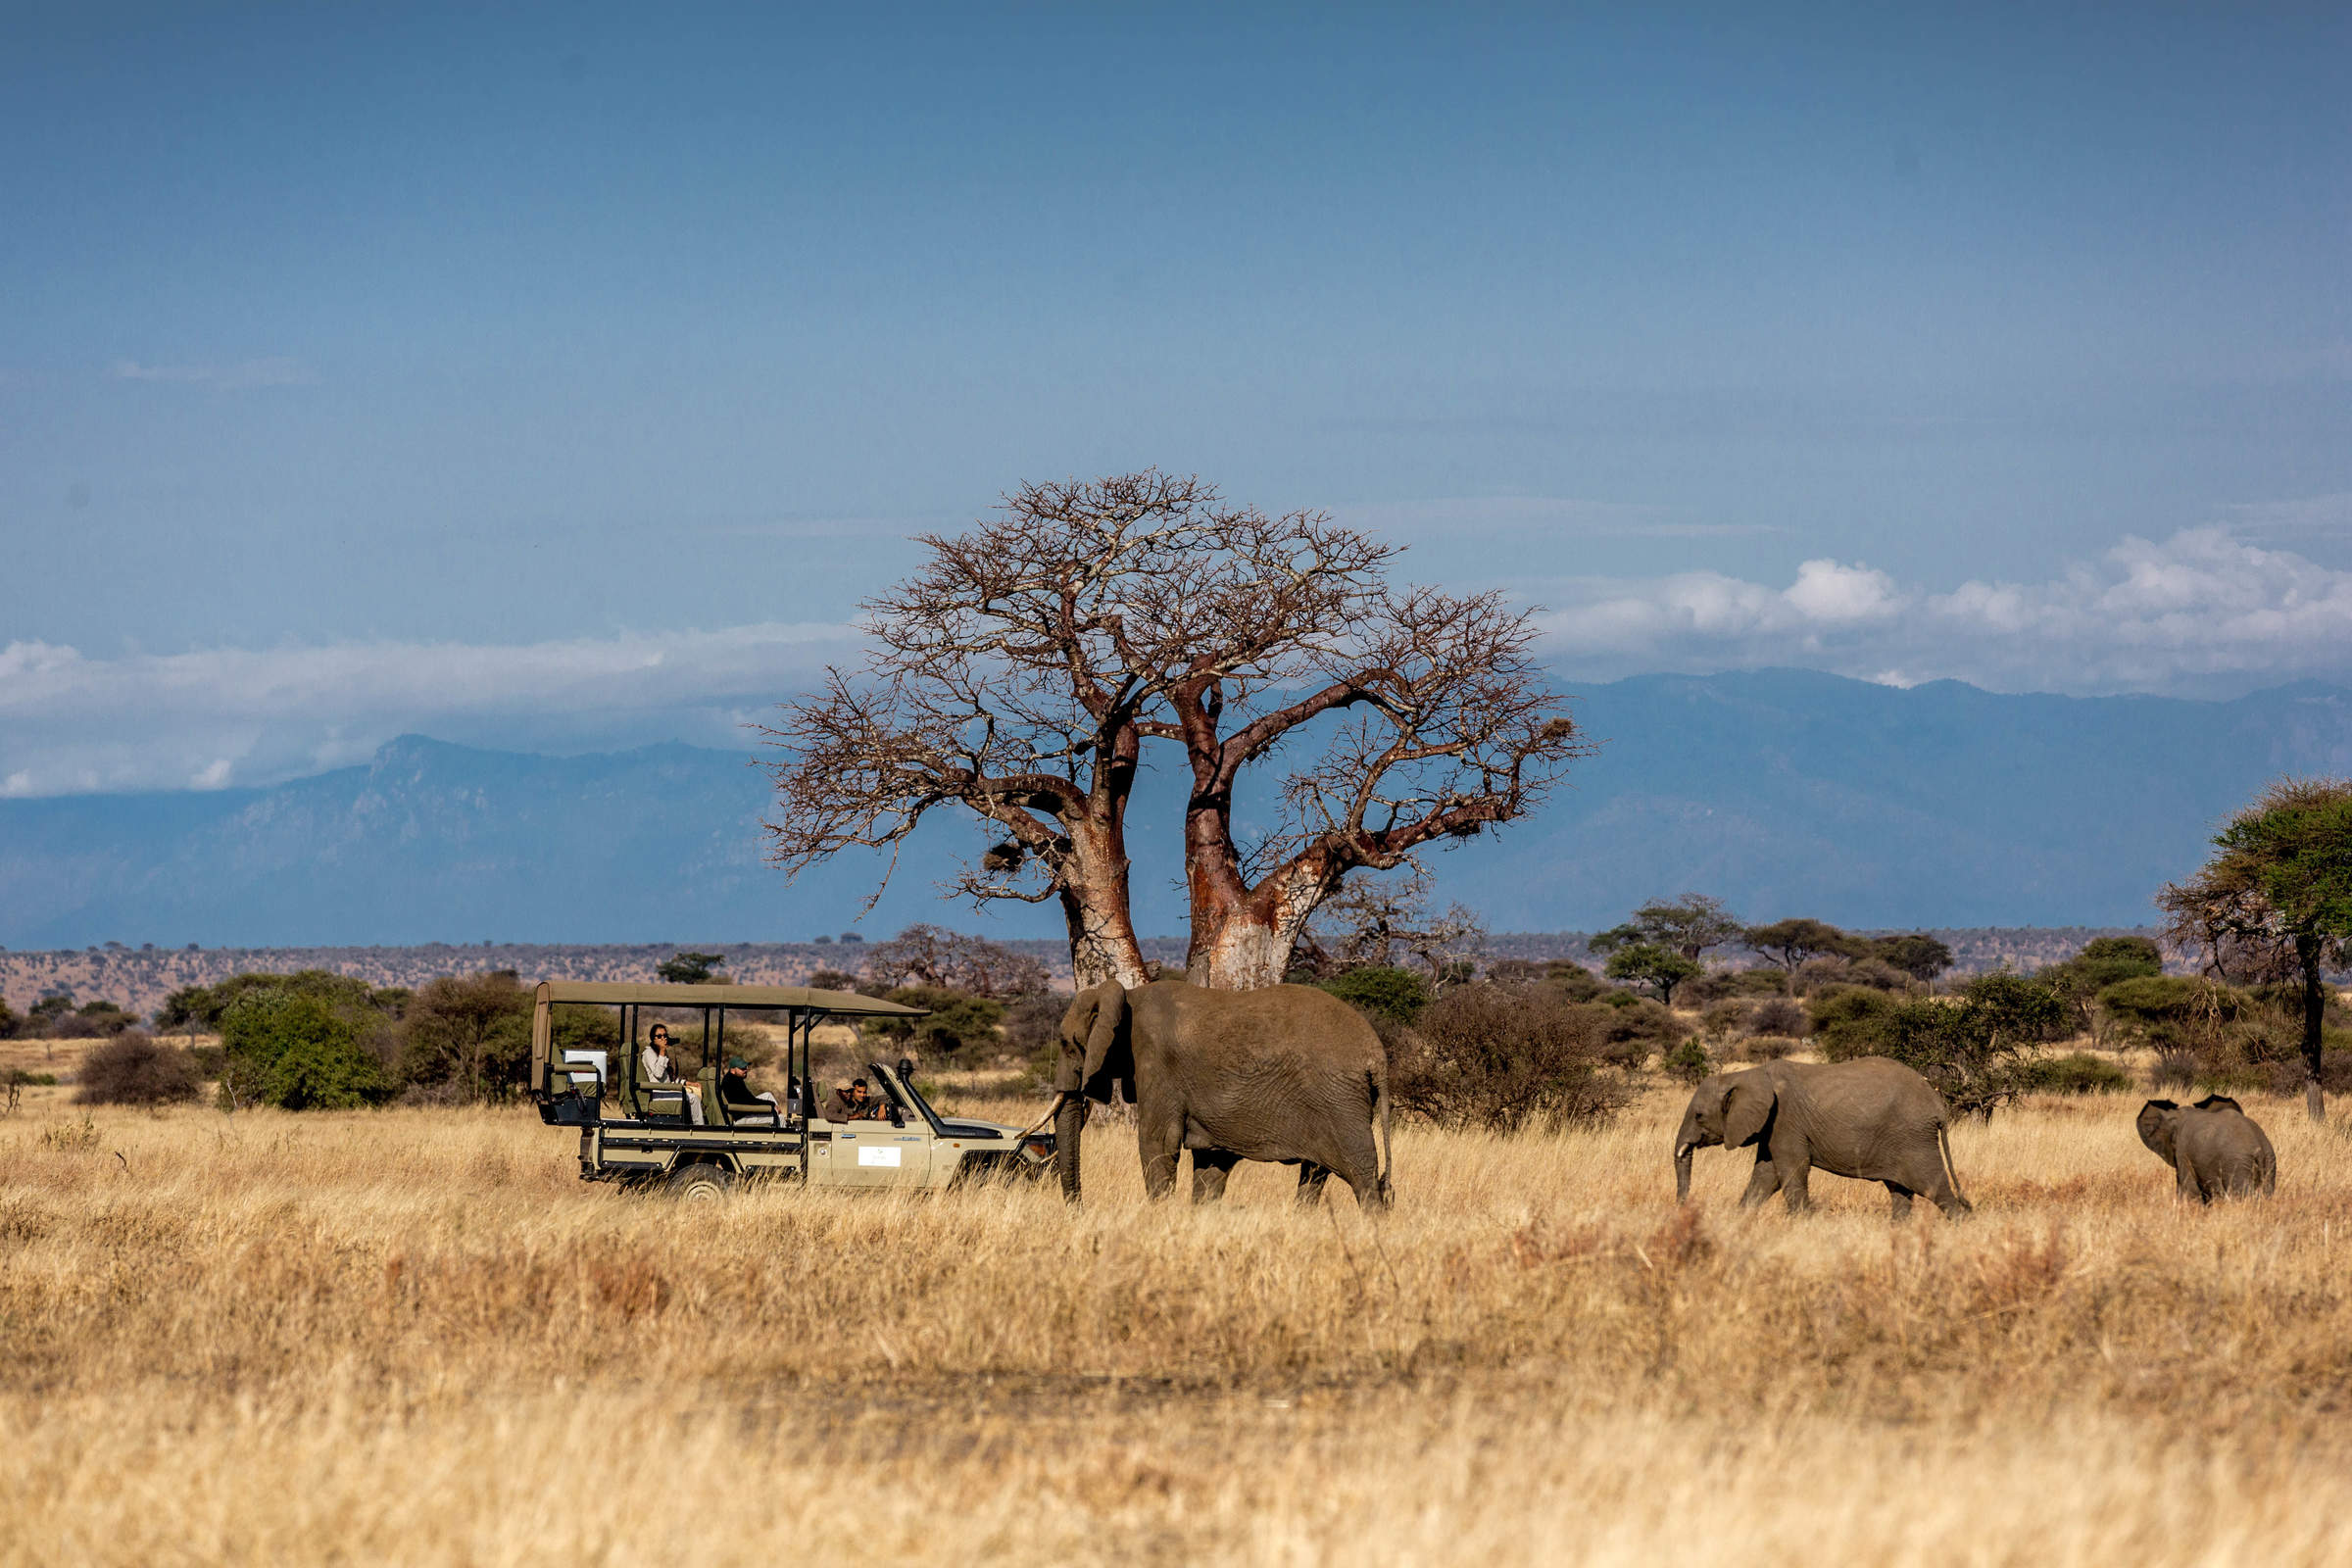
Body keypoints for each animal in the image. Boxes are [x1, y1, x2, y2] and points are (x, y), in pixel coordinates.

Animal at [1039, 982, 1383, 1212]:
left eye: (1068, 1044)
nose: (1080, 1210)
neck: (1128, 996)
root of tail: (1375, 1053)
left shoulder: (1156, 1063)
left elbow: (1158, 1142)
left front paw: (1158, 1216)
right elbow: (1211, 1158)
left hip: (1338, 1101)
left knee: (1361, 1172)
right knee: (1315, 1171)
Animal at [1665, 1062, 1976, 1222]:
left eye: (1699, 1115)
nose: (1682, 1208)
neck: (1747, 1074)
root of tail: (1937, 1104)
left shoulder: (1785, 1120)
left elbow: (1791, 1171)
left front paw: (1800, 1225)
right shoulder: (1771, 1126)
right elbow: (1766, 1175)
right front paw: (1739, 1221)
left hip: (1914, 1139)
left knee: (1934, 1188)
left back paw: (1961, 1224)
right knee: (1900, 1191)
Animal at [2135, 1100, 2277, 1212]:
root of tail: (2258, 1147)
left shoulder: (2183, 1151)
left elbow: (2189, 1188)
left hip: (2237, 1164)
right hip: (2269, 1161)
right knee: (2267, 1192)